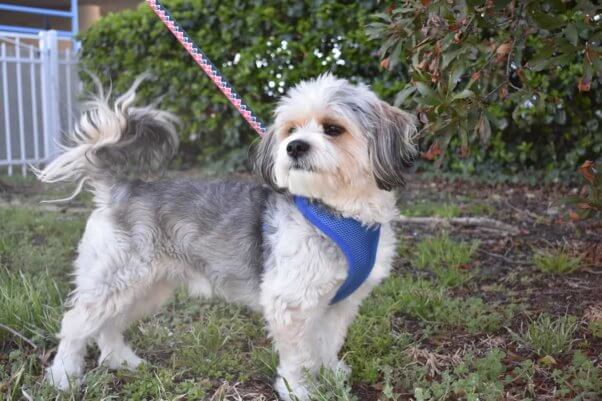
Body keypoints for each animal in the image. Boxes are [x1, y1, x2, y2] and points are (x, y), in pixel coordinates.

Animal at [36, 73, 412, 398]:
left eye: (333, 129)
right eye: (291, 129)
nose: (294, 147)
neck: (335, 211)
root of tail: (120, 188)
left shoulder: (340, 303)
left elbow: (328, 343)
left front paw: (332, 375)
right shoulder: (290, 303)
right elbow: (299, 357)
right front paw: (299, 390)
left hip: (145, 287)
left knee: (108, 325)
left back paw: (121, 360)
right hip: (115, 279)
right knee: (75, 323)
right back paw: (63, 377)